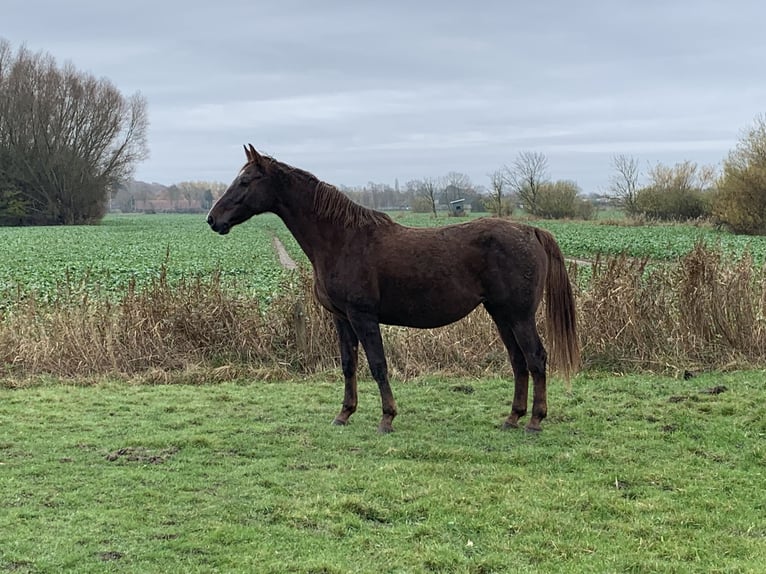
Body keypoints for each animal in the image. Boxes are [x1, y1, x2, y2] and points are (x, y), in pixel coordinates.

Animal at [207, 145, 580, 433]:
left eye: (245, 181)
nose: (213, 219)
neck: (342, 239)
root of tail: (531, 230)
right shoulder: (342, 318)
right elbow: (348, 364)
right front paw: (344, 414)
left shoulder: (363, 316)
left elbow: (377, 364)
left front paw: (387, 418)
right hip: (500, 315)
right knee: (518, 361)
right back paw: (512, 418)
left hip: (519, 316)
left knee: (536, 357)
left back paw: (534, 421)